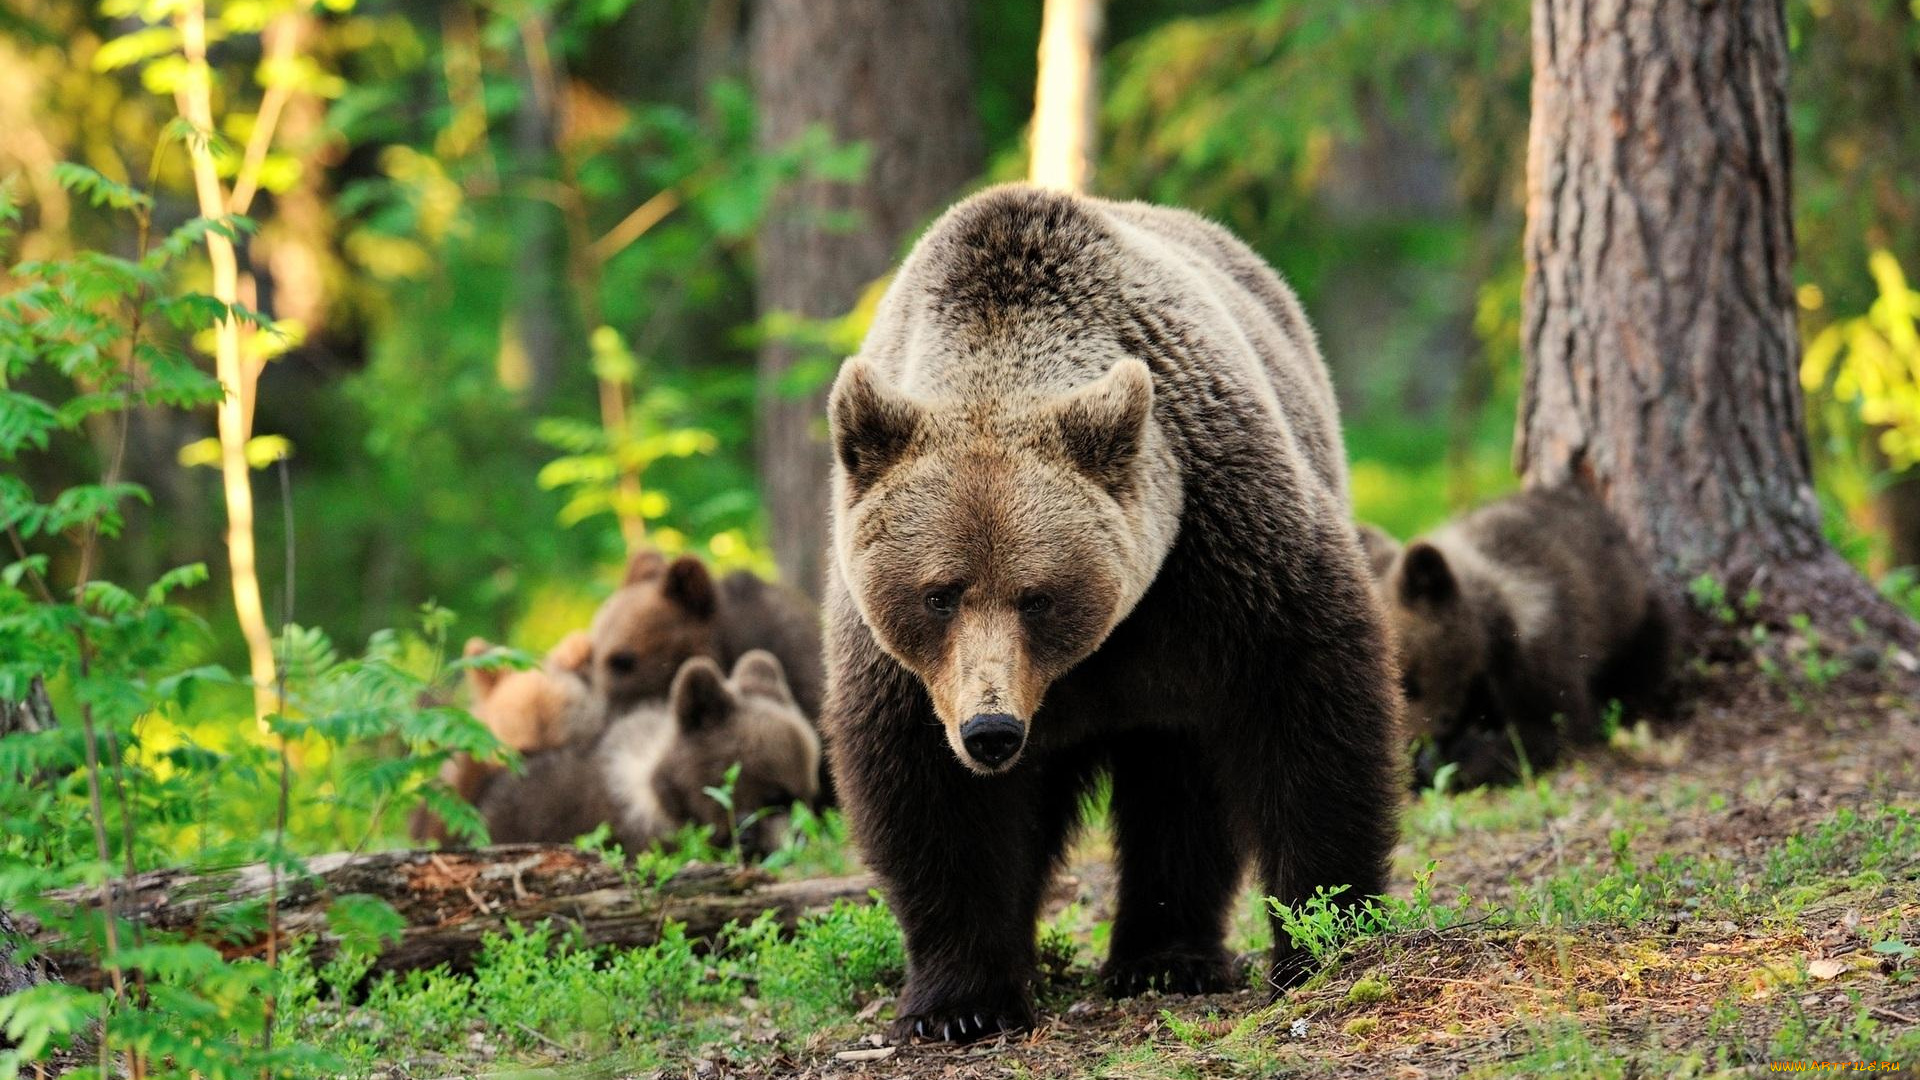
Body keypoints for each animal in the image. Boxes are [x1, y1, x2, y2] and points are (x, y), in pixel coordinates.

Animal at [817, 184, 1405, 1045]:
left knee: (1180, 788)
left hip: (1182, 678)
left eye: (1037, 595)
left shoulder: (1222, 554)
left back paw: (1165, 958)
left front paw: (1321, 936)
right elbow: (931, 796)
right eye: (939, 592)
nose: (992, 731)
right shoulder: (902, 662)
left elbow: (1308, 711)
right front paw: (960, 1002)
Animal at [1382, 486, 1666, 780]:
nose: (1410, 745)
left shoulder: (1538, 651)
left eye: (1409, 682)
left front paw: (1463, 763)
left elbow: (1550, 725)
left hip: (1633, 622)